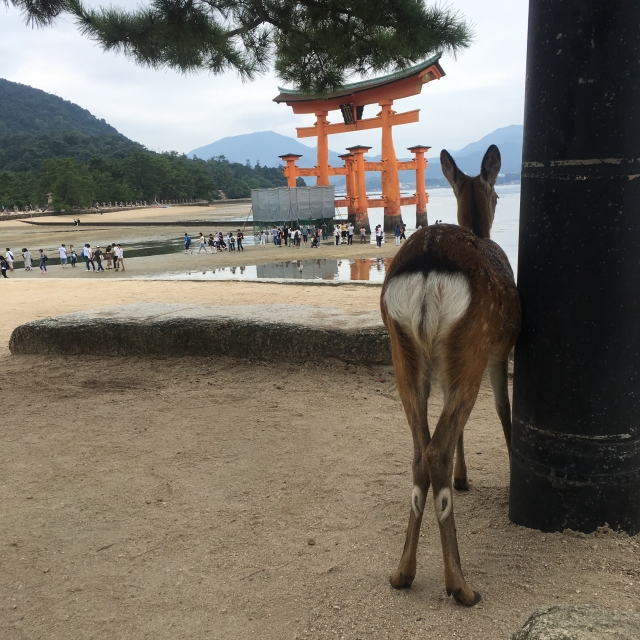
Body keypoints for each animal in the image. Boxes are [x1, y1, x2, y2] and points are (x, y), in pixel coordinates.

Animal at [380, 144, 520, 604]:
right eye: (497, 193)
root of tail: (427, 271)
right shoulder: (500, 353)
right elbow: (504, 412)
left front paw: (464, 479)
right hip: (473, 343)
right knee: (435, 449)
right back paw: (460, 585)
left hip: (404, 354)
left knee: (419, 452)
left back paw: (402, 573)